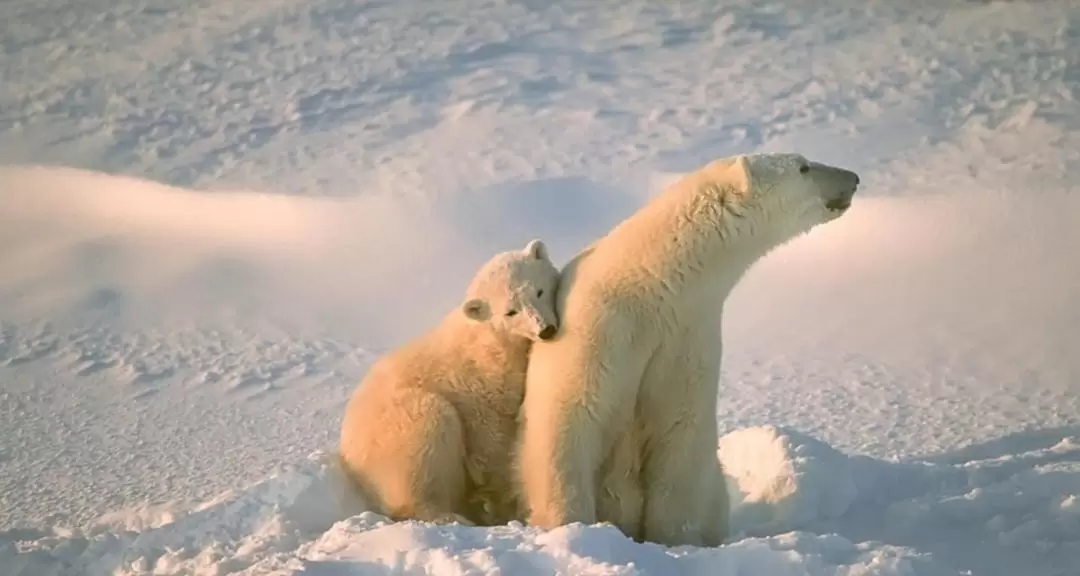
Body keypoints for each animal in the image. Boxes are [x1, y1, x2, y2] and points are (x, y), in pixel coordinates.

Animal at [514, 150, 859, 544]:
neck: (651, 283)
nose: (853, 178)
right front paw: (572, 527)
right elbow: (570, 421)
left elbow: (680, 435)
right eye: (803, 166)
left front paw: (677, 540)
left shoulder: (687, 333)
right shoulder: (599, 328)